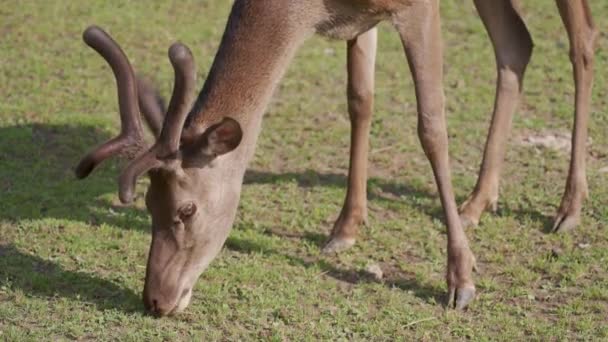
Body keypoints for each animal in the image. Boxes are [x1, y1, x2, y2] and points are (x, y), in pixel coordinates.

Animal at [73, 0, 596, 316]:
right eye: (146, 205)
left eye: (187, 209)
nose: (155, 300)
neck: (308, 11)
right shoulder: (360, 18)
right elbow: (359, 99)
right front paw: (344, 228)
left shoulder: (417, 8)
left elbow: (431, 126)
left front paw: (461, 280)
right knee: (517, 42)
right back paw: (479, 200)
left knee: (582, 39)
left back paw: (568, 207)